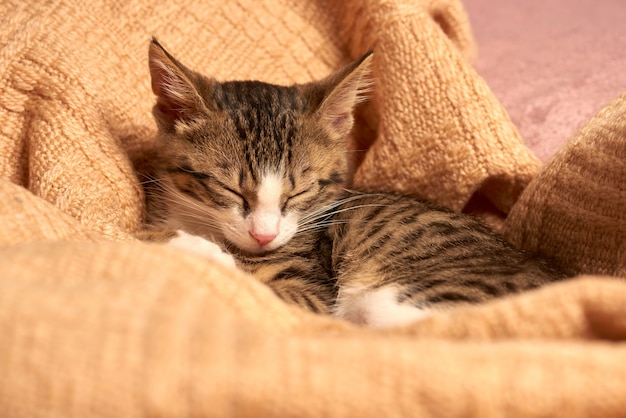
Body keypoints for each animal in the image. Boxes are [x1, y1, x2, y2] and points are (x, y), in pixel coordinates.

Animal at [138, 39, 564, 326]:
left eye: (300, 192)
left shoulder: (312, 295)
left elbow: (256, 285)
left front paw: (187, 246)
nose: (264, 236)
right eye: (230, 189)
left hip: (396, 298)